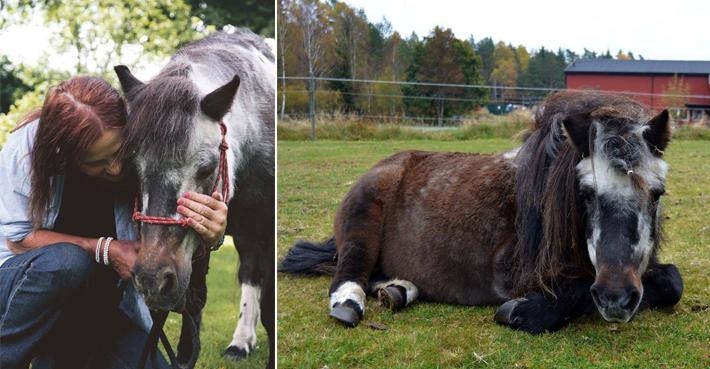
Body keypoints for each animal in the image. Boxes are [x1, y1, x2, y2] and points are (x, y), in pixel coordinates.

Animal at [114, 29, 276, 368]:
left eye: (206, 169)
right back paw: (241, 341)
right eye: (133, 170)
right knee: (249, 273)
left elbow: (270, 308)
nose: (153, 279)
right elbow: (191, 323)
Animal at [280, 90, 688, 332]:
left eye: (657, 194)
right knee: (350, 273)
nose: (615, 298)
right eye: (585, 193)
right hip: (361, 222)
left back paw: (398, 290)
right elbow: (573, 290)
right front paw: (525, 311)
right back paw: (350, 303)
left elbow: (672, 281)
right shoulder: (513, 274)